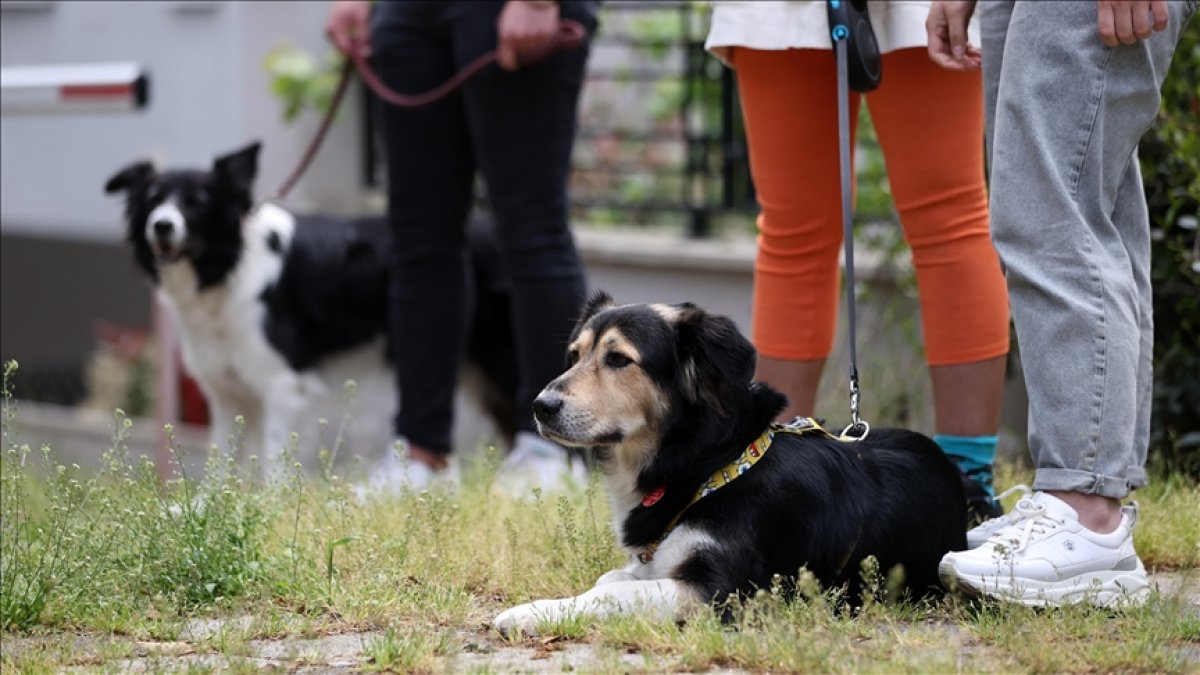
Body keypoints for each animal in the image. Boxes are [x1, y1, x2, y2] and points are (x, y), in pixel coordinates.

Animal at [104, 142, 516, 478]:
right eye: (153, 198)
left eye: (198, 201)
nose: (161, 225)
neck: (227, 269)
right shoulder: (226, 392)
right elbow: (219, 464)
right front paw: (203, 509)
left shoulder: (283, 384)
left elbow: (273, 466)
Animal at [492, 291, 969, 634]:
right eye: (575, 356)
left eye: (618, 359)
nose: (540, 406)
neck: (707, 463)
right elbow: (612, 580)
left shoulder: (720, 592)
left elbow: (611, 595)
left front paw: (531, 613)